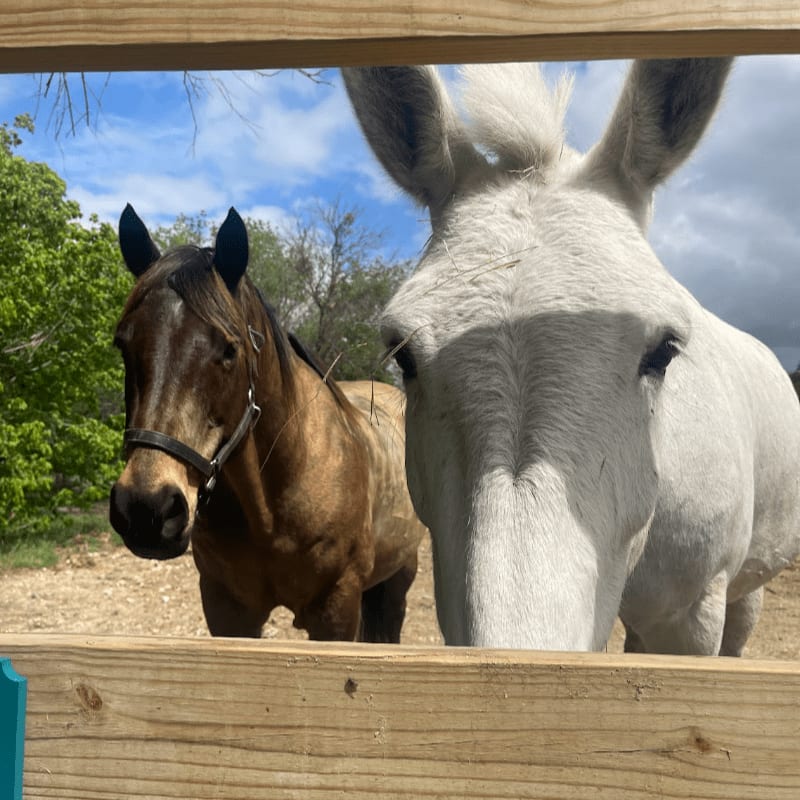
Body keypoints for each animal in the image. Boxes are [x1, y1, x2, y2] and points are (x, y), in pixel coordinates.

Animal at [108, 205, 426, 642]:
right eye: (123, 344)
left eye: (230, 350)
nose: (146, 508)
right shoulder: (228, 609)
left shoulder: (337, 607)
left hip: (399, 577)